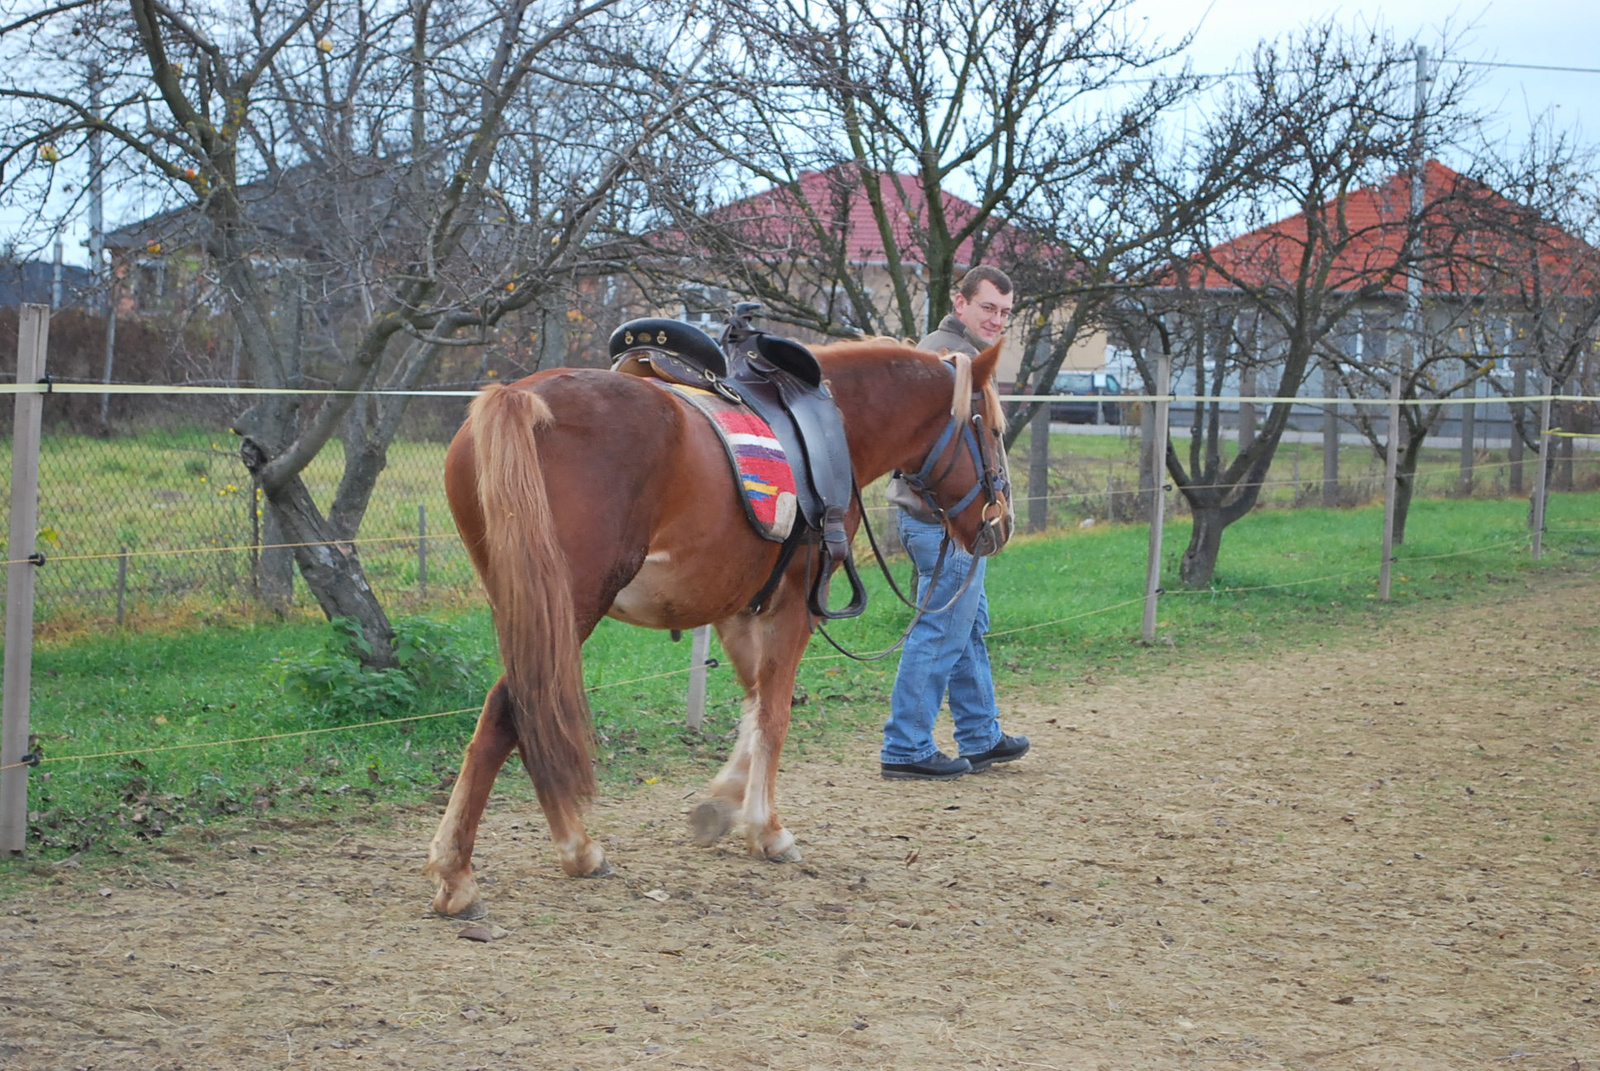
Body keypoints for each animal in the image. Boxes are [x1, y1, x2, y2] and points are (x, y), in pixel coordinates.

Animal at [419, 337, 1004, 915]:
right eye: (995, 431)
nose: (1000, 525)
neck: (836, 423)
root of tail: (517, 398)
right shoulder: (795, 607)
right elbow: (774, 713)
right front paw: (766, 829)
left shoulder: (736, 608)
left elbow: (755, 703)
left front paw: (723, 803)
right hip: (568, 607)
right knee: (512, 712)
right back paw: (462, 873)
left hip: (529, 610)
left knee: (530, 714)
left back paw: (575, 850)